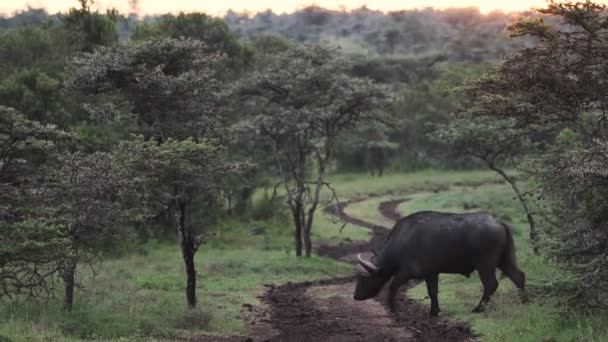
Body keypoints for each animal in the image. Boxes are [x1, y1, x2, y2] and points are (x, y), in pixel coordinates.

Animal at [354, 210, 524, 316]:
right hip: (504, 260)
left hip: (485, 264)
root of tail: (498, 222)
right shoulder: (432, 273)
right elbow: (432, 291)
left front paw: (393, 308)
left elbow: (393, 285)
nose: (356, 296)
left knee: (491, 284)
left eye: (363, 278)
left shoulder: (408, 272)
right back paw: (525, 301)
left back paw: (478, 309)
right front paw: (434, 311)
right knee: (518, 276)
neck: (402, 241)